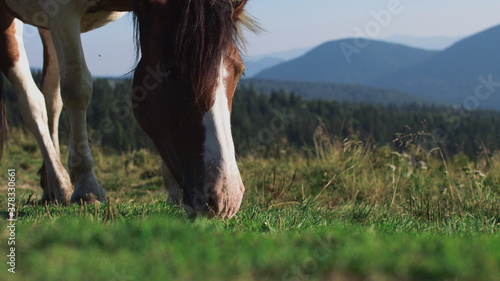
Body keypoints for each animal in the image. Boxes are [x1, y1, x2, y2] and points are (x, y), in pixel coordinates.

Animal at [0, 0, 256, 218]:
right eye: (173, 72)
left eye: (239, 72)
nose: (226, 198)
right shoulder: (62, 12)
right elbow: (77, 88)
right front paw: (86, 185)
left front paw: (174, 190)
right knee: (31, 100)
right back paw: (61, 182)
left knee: (50, 97)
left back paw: (52, 183)